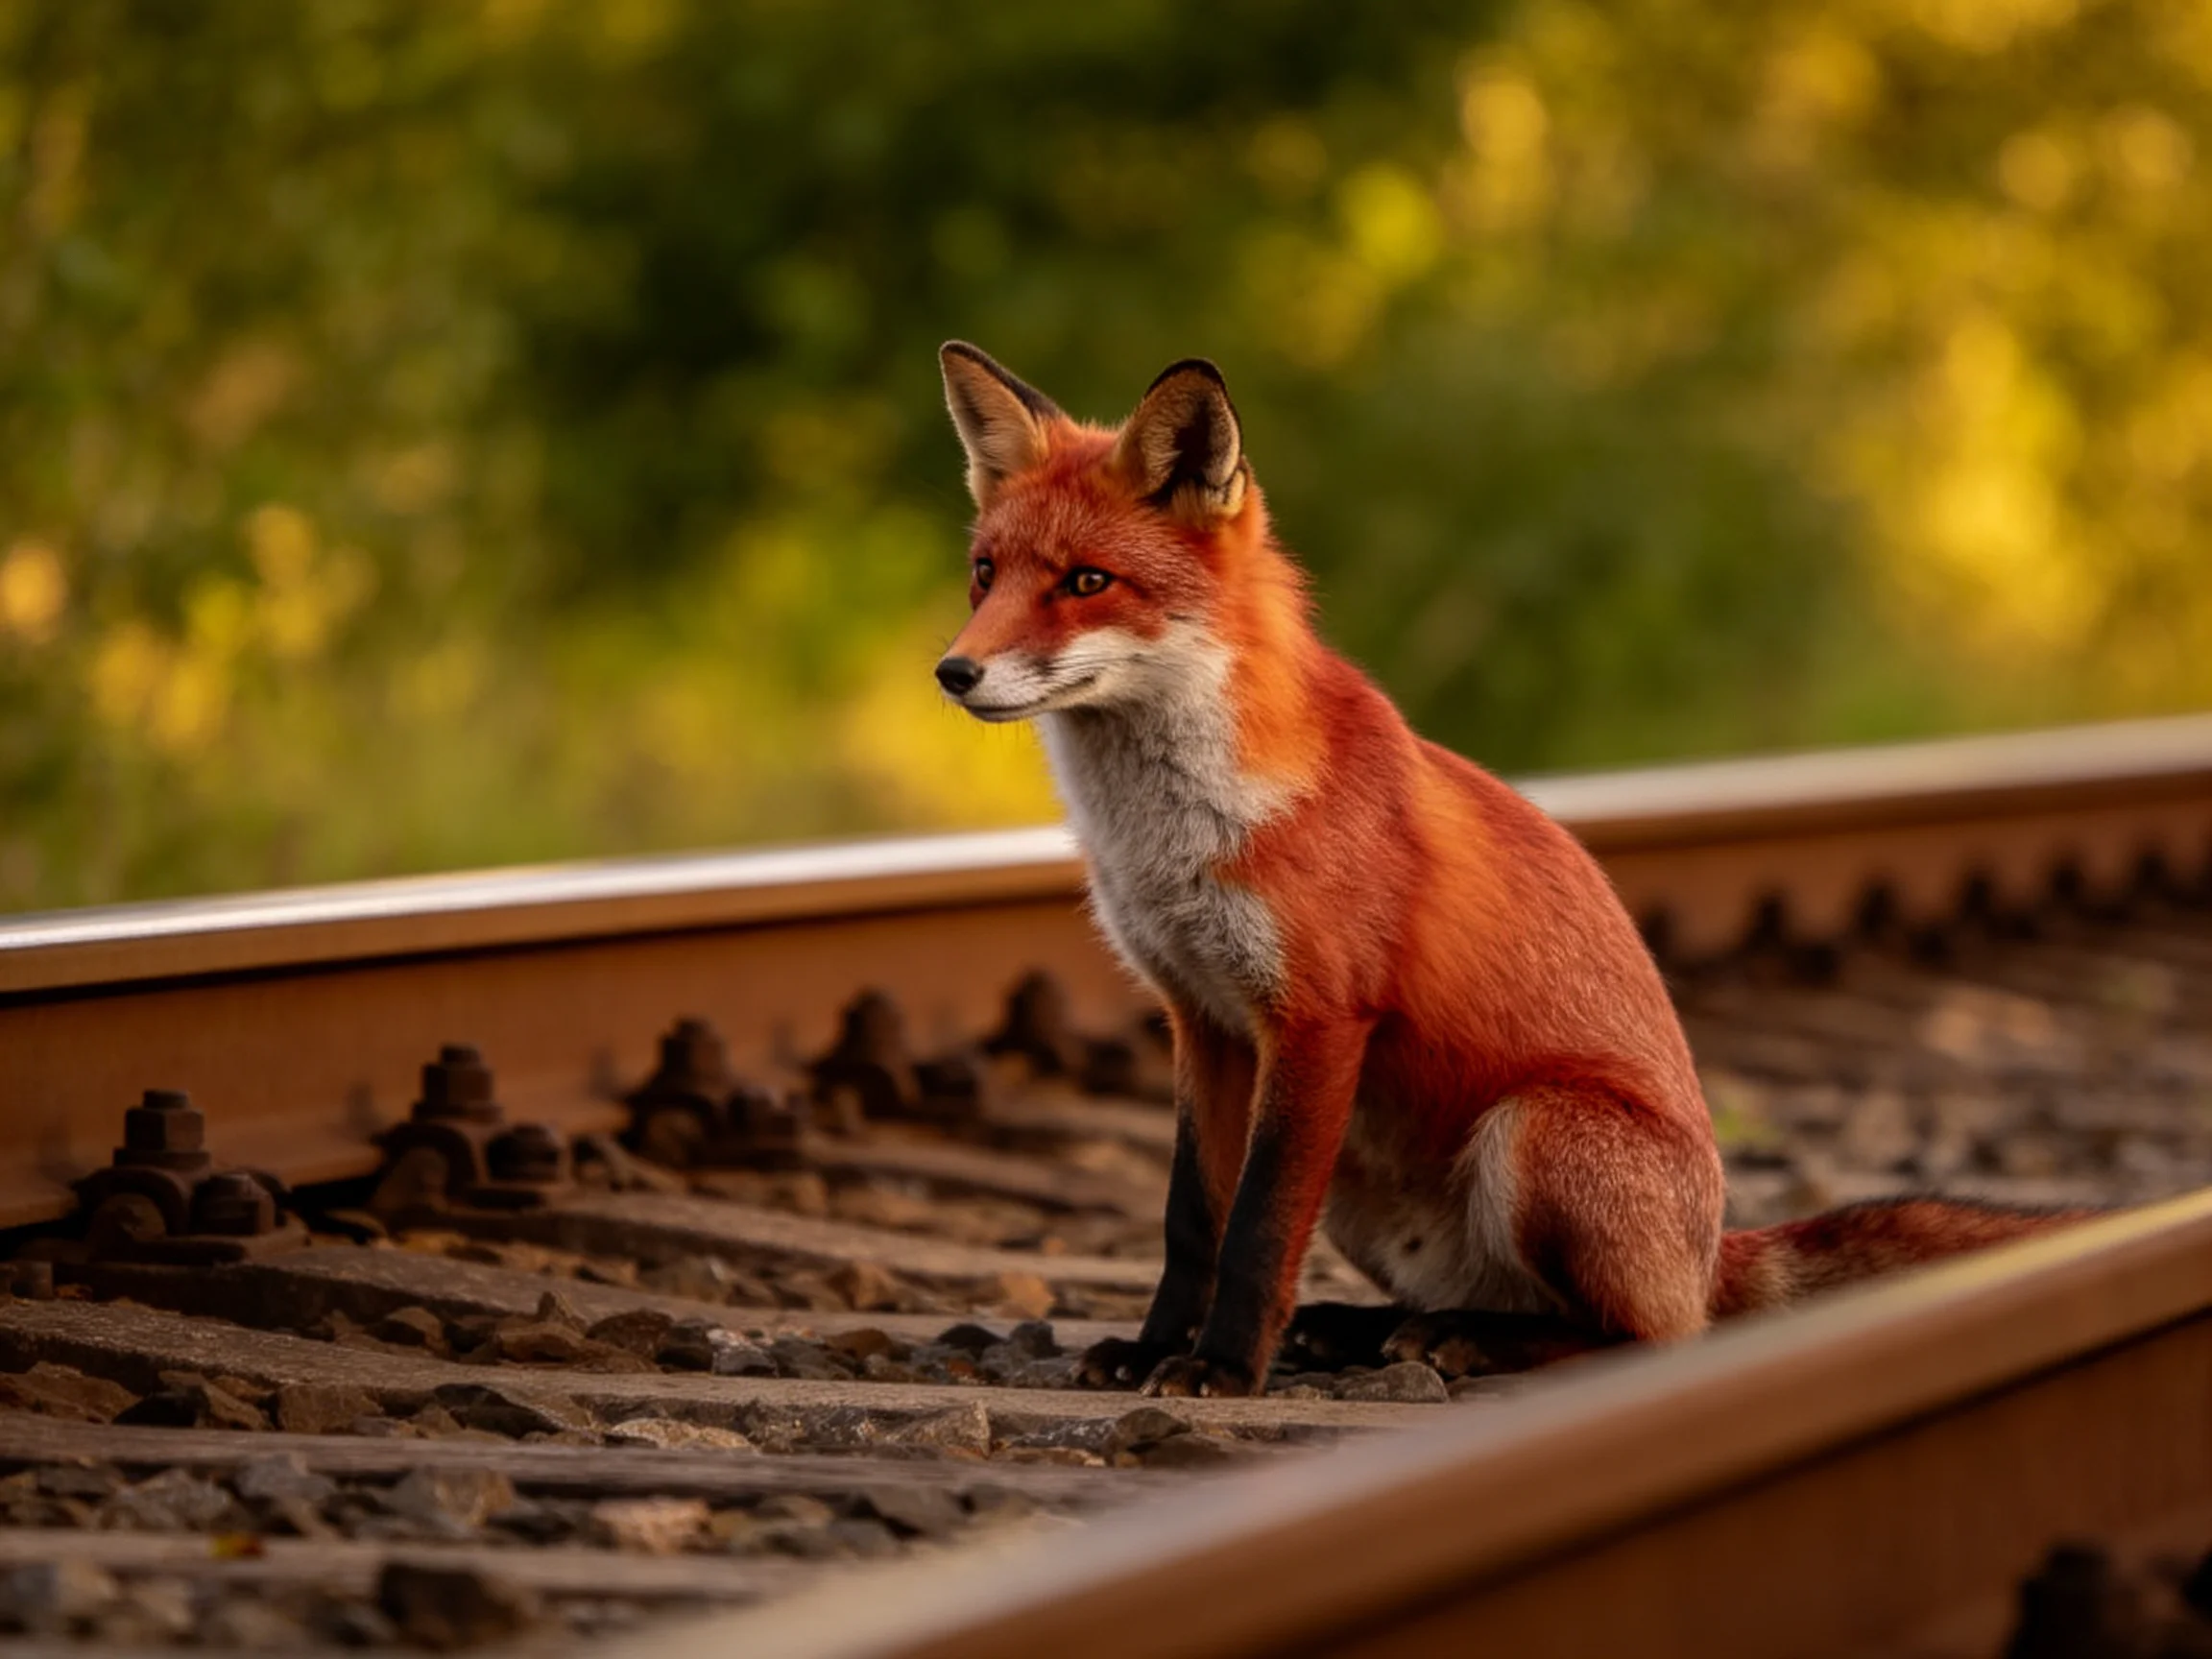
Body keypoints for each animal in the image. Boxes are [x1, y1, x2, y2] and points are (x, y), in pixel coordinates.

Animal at [932, 341, 2094, 1398]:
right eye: (987, 573)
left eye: (1087, 582)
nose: (954, 671)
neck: (1174, 837)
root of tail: (1712, 1256)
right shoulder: (1205, 1021)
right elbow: (1191, 1219)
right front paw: (1152, 1351)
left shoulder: (1316, 1020)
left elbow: (1257, 1226)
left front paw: (1219, 1369)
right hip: (1364, 1181)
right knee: (1491, 1298)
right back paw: (1368, 1331)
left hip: (1532, 1133)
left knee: (1643, 1337)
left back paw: (1469, 1346)